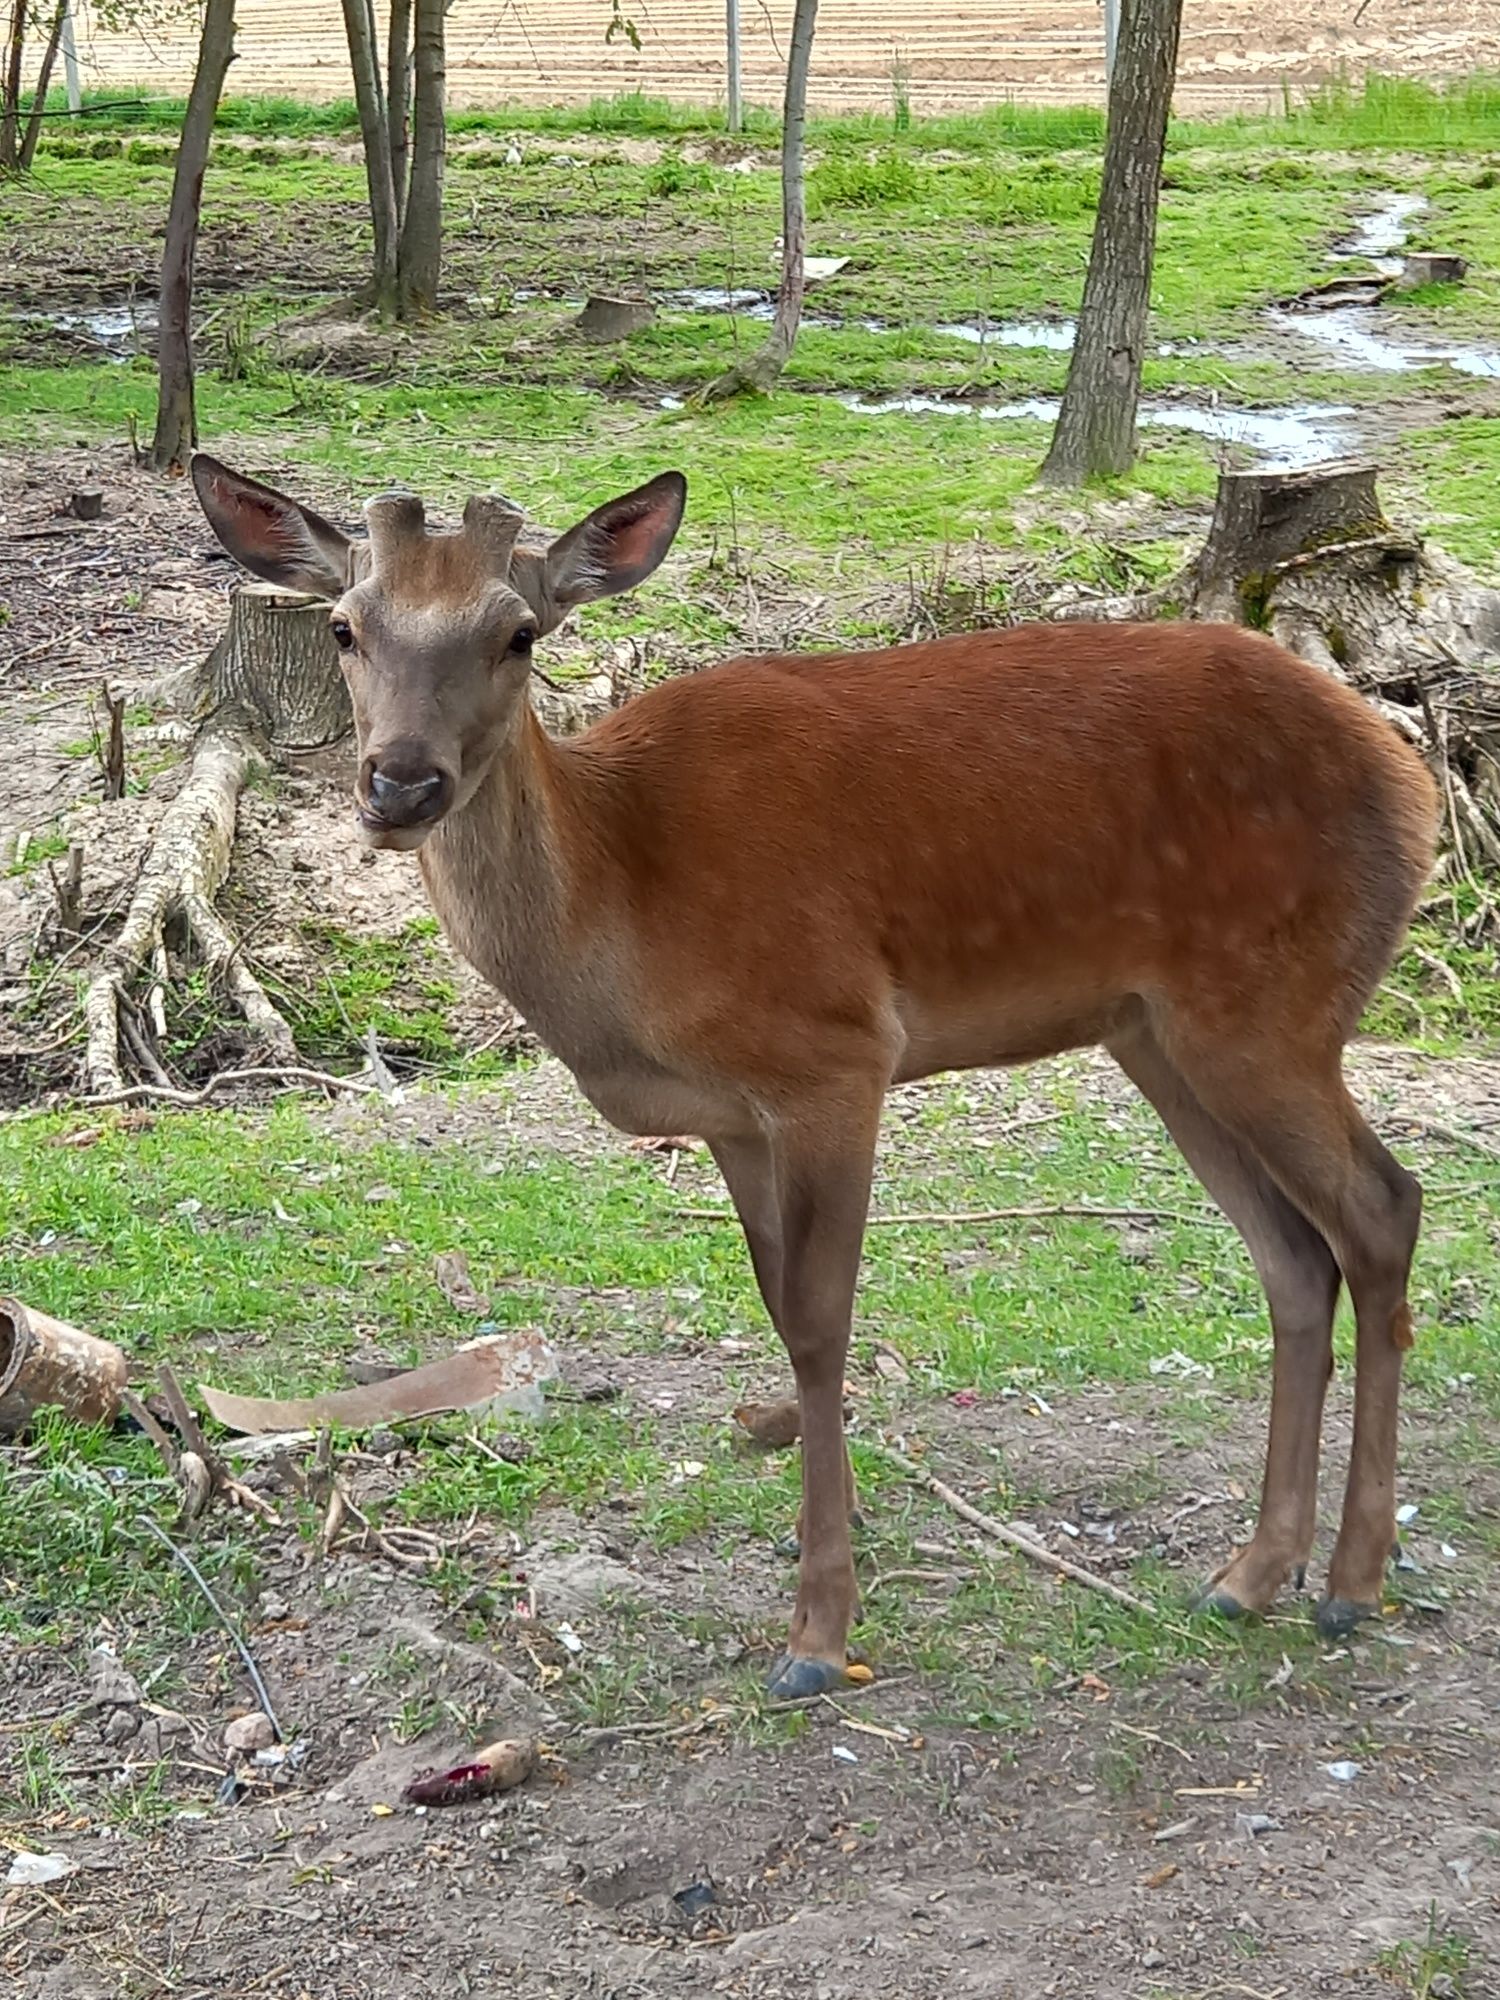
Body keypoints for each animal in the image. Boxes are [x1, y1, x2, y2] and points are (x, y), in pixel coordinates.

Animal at [191, 458, 1448, 1704]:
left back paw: (1352, 1579)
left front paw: (819, 1631)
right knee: (1294, 1256)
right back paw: (1251, 1572)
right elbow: (772, 1301)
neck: (626, 906)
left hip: (1268, 1005)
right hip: (1161, 1031)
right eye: (345, 627)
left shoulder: (834, 1051)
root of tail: (1415, 778)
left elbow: (818, 1322)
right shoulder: (731, 1119)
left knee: (1384, 1207)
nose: (401, 784)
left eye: (519, 632)